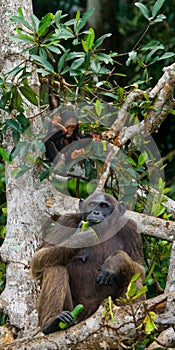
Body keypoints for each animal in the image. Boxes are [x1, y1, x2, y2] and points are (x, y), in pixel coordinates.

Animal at [31, 193, 145, 334]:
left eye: (104, 206)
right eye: (92, 204)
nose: (96, 212)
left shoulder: (131, 229)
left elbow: (139, 267)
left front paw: (115, 262)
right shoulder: (66, 221)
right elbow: (37, 258)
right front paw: (81, 237)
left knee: (133, 277)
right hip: (74, 312)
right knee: (54, 267)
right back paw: (51, 322)